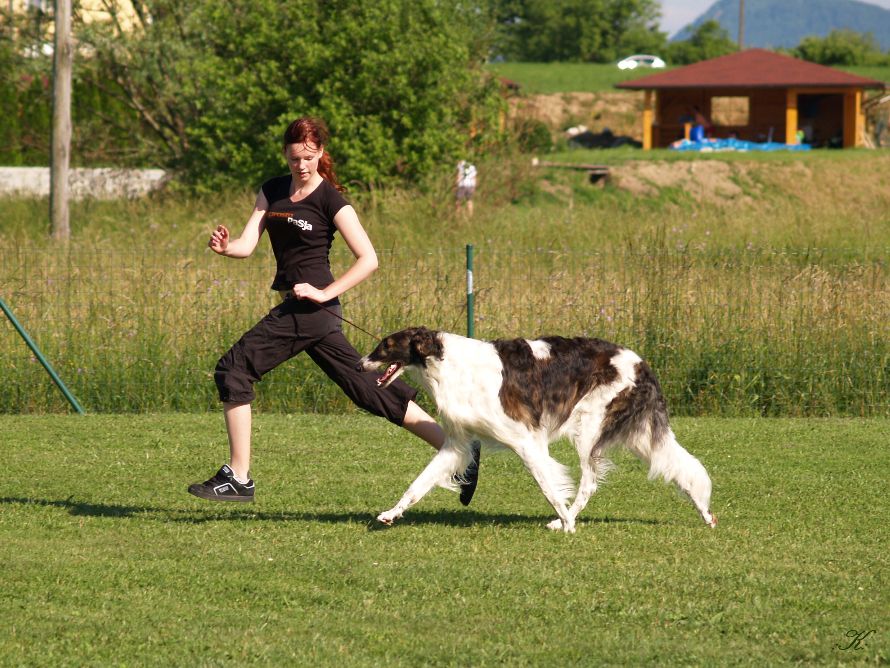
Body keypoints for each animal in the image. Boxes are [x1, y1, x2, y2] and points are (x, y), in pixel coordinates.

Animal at [358, 326, 712, 536]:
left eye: (385, 345)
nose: (361, 364)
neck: (449, 365)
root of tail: (642, 363)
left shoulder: (526, 440)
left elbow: (549, 487)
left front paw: (567, 522)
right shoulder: (457, 444)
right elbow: (418, 484)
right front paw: (391, 513)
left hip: (589, 429)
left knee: (589, 483)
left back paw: (566, 520)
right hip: (636, 436)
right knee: (678, 467)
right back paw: (705, 513)